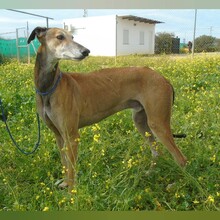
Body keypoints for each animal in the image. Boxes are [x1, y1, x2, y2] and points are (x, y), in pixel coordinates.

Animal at [26, 26, 186, 192]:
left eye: (72, 37)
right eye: (60, 37)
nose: (86, 51)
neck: (49, 87)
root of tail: (163, 78)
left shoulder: (72, 136)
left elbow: (71, 170)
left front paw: (71, 193)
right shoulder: (59, 135)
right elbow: (65, 164)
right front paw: (64, 184)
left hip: (157, 123)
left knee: (181, 159)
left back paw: (177, 185)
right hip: (141, 122)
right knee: (157, 151)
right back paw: (151, 173)